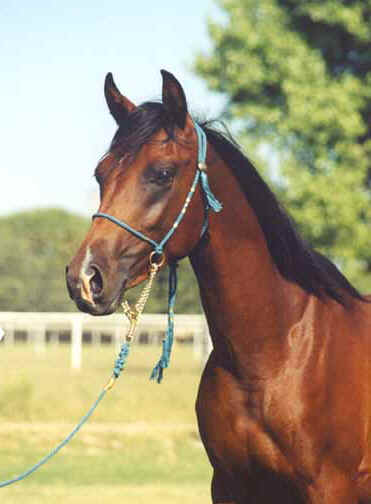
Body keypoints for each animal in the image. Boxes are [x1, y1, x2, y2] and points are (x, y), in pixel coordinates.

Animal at [66, 69, 371, 502]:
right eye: (101, 174)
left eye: (162, 173)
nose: (85, 278)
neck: (273, 359)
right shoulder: (229, 486)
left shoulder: (330, 488)